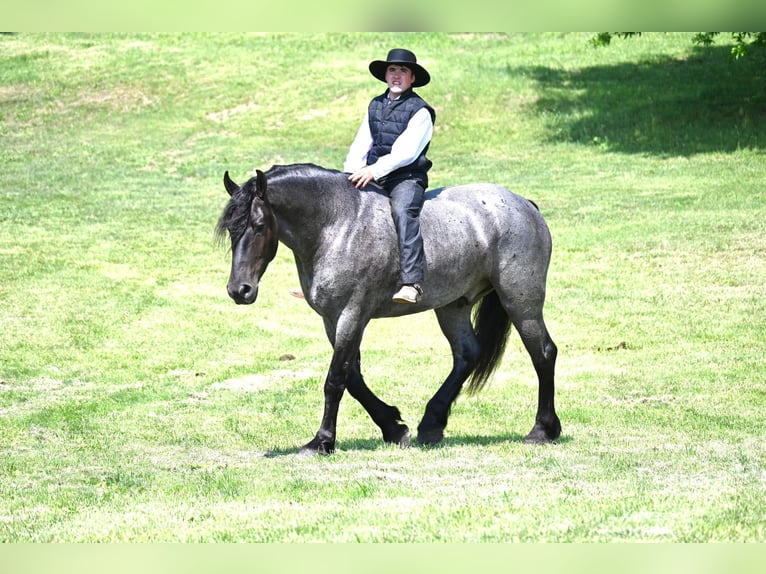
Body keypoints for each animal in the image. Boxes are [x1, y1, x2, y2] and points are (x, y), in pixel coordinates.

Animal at [216, 164, 564, 456]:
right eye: (231, 230)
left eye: (259, 226)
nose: (239, 290)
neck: (338, 225)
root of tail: (524, 205)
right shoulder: (333, 319)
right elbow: (353, 378)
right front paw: (393, 427)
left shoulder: (352, 314)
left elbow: (336, 379)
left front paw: (322, 441)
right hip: (452, 306)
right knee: (467, 355)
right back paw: (431, 424)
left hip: (520, 300)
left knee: (544, 354)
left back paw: (543, 430)